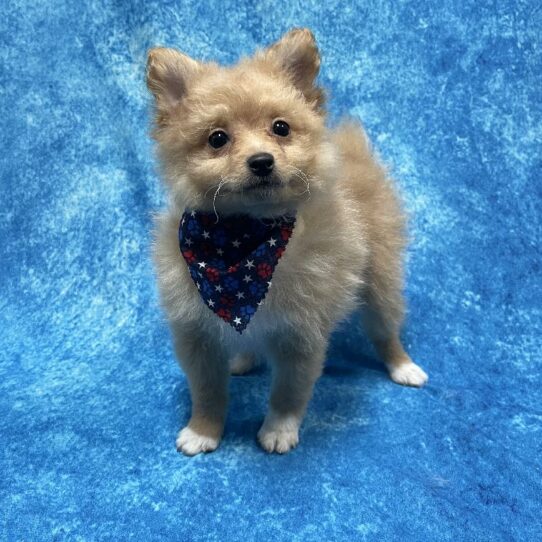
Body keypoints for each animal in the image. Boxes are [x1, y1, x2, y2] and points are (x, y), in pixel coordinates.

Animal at [148, 27, 430, 456]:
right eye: (217, 139)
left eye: (281, 128)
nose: (262, 161)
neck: (245, 241)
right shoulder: (197, 335)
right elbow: (208, 391)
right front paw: (203, 430)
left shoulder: (302, 332)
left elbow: (288, 390)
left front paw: (279, 430)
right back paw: (244, 359)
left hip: (381, 281)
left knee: (385, 330)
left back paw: (403, 366)